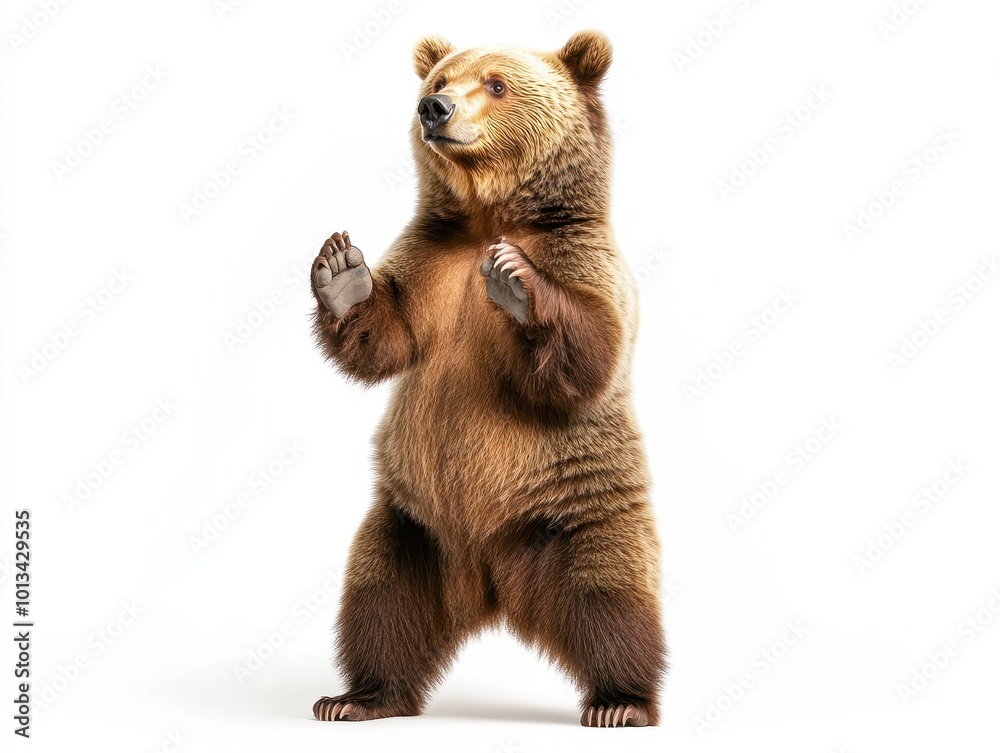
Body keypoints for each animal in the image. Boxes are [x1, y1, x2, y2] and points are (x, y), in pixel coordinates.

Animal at [309, 30, 666, 728]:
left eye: (497, 84)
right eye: (439, 79)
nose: (435, 109)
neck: (489, 217)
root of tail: (492, 580)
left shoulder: (584, 258)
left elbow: (589, 357)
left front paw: (517, 280)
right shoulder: (429, 262)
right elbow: (385, 342)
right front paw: (342, 270)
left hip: (580, 519)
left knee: (613, 602)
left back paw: (620, 702)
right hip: (410, 529)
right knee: (379, 603)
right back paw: (358, 696)